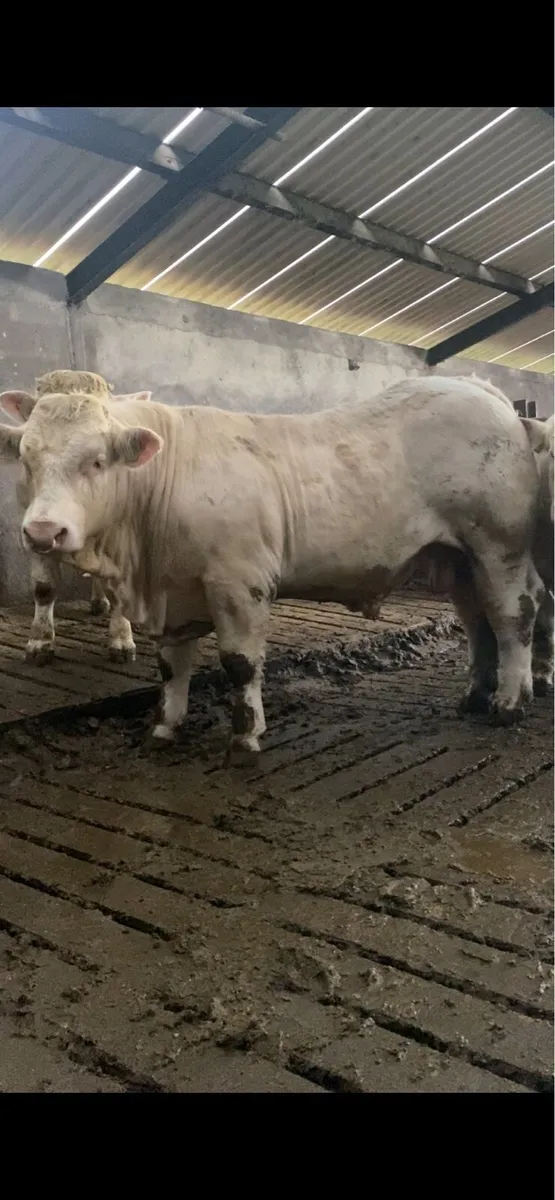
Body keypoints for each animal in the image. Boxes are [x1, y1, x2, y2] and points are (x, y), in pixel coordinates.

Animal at [2, 370, 151, 663]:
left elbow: (120, 593)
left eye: (100, 460)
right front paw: (40, 642)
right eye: (25, 459)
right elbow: (44, 587)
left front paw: (121, 640)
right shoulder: (33, 528)